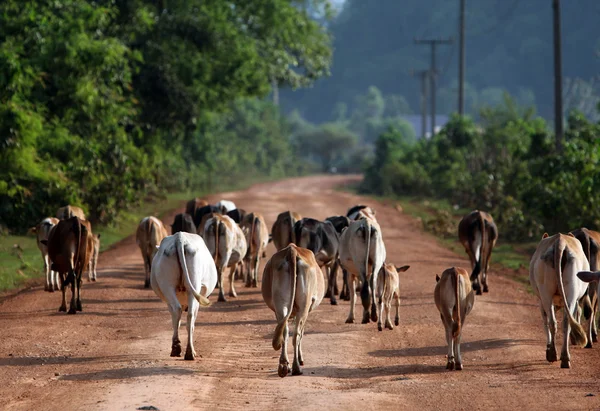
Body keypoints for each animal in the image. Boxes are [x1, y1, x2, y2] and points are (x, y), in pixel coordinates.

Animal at [150, 233, 218, 362]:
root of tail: (180, 238)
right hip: (192, 285)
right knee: (189, 315)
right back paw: (188, 351)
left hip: (168, 286)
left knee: (179, 311)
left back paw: (179, 348)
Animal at [262, 245, 324, 380]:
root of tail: (292, 249)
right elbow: (302, 333)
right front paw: (301, 358)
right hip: (304, 306)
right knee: (296, 334)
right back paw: (296, 367)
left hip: (281, 305)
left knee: (285, 333)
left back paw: (284, 366)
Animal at [528, 232, 584, 370]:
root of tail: (560, 240)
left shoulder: (540, 300)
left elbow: (545, 320)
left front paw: (548, 347)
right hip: (570, 293)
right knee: (565, 322)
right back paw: (564, 358)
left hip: (546, 293)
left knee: (552, 321)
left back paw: (553, 354)